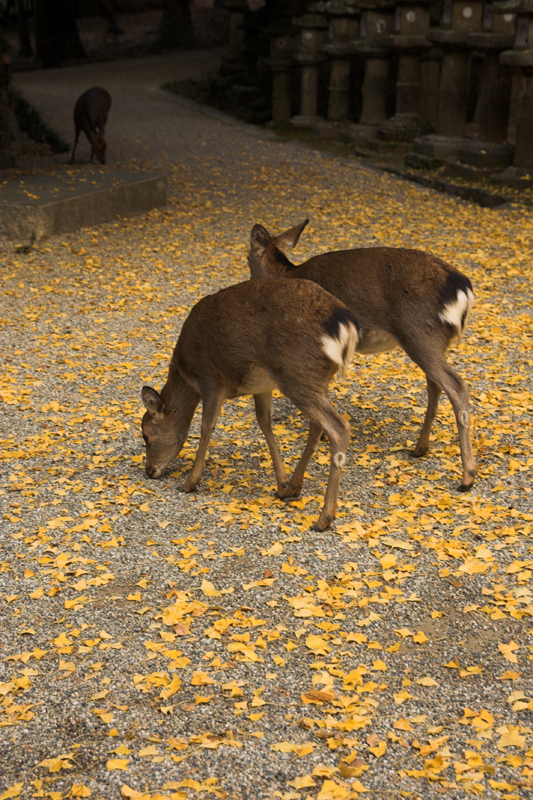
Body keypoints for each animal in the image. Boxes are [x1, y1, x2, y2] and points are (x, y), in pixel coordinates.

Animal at [141, 278, 359, 531]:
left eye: (145, 435)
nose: (149, 470)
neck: (187, 374)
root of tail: (345, 325)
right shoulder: (262, 387)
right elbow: (265, 424)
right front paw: (281, 484)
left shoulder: (210, 379)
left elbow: (206, 427)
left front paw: (189, 483)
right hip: (316, 379)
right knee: (317, 426)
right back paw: (294, 486)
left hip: (296, 374)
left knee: (338, 427)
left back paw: (324, 518)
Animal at [248, 219, 476, 492]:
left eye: (247, 258)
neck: (286, 274)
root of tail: (462, 288)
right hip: (432, 340)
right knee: (435, 385)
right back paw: (420, 448)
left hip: (419, 331)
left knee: (456, 384)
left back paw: (467, 477)